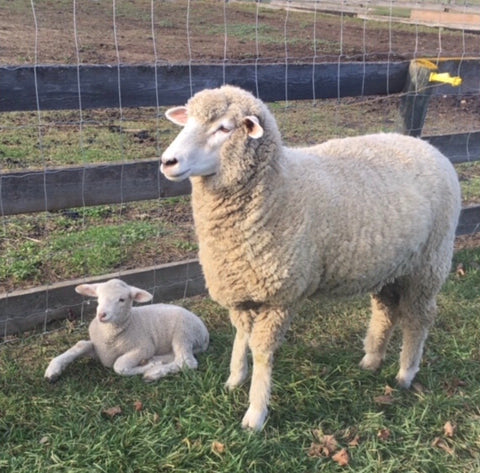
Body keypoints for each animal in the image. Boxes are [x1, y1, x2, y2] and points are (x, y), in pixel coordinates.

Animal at [44, 278, 208, 382]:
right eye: (98, 298)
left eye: (121, 300)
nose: (101, 315)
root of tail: (205, 335)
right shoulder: (100, 349)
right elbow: (80, 345)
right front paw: (53, 369)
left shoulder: (144, 347)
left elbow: (119, 366)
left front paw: (148, 367)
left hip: (184, 333)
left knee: (186, 362)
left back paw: (153, 372)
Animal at [160, 83, 462, 430]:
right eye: (187, 121)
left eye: (224, 128)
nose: (168, 161)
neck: (277, 189)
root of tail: (430, 148)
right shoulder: (241, 288)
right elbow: (240, 336)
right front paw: (235, 379)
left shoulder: (280, 297)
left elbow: (261, 351)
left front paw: (255, 412)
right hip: (391, 265)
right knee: (386, 309)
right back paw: (371, 360)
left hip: (429, 262)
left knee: (417, 318)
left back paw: (405, 373)